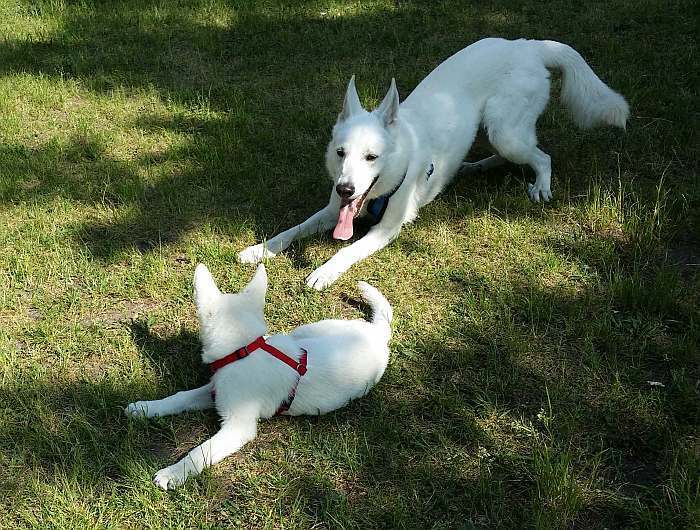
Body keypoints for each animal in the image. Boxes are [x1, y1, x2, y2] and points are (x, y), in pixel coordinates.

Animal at [123, 262, 392, 488]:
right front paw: (145, 408)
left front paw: (173, 473)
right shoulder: (216, 390)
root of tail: (378, 332)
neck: (244, 350)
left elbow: (201, 452)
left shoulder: (238, 426)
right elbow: (179, 397)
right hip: (305, 332)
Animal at [239, 37, 628, 288]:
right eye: (340, 153)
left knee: (542, 157)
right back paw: (472, 167)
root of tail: (528, 45)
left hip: (506, 131)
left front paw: (325, 271)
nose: (346, 188)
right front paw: (259, 250)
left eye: (371, 157)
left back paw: (541, 186)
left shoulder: (387, 230)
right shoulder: (332, 210)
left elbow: (347, 251)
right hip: (494, 131)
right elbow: (290, 231)